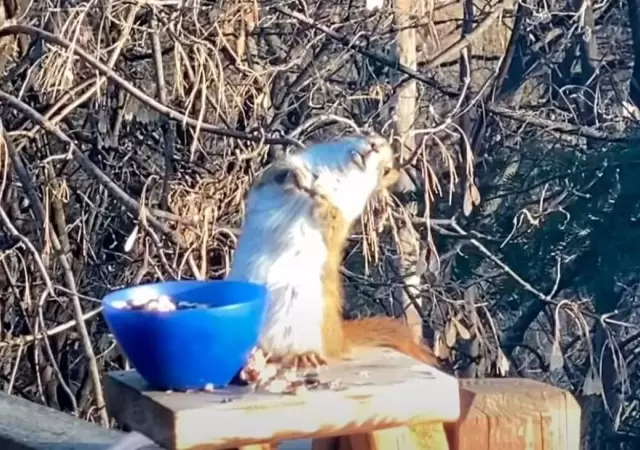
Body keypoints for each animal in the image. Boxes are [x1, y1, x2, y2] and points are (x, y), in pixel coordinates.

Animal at [228, 130, 438, 370]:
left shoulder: (345, 214)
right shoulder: (275, 175)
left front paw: (321, 201)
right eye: (366, 132)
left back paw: (303, 356)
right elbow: (275, 176)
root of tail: (336, 340)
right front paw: (295, 176)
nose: (374, 146)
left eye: (385, 169)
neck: (335, 174)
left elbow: (332, 222)